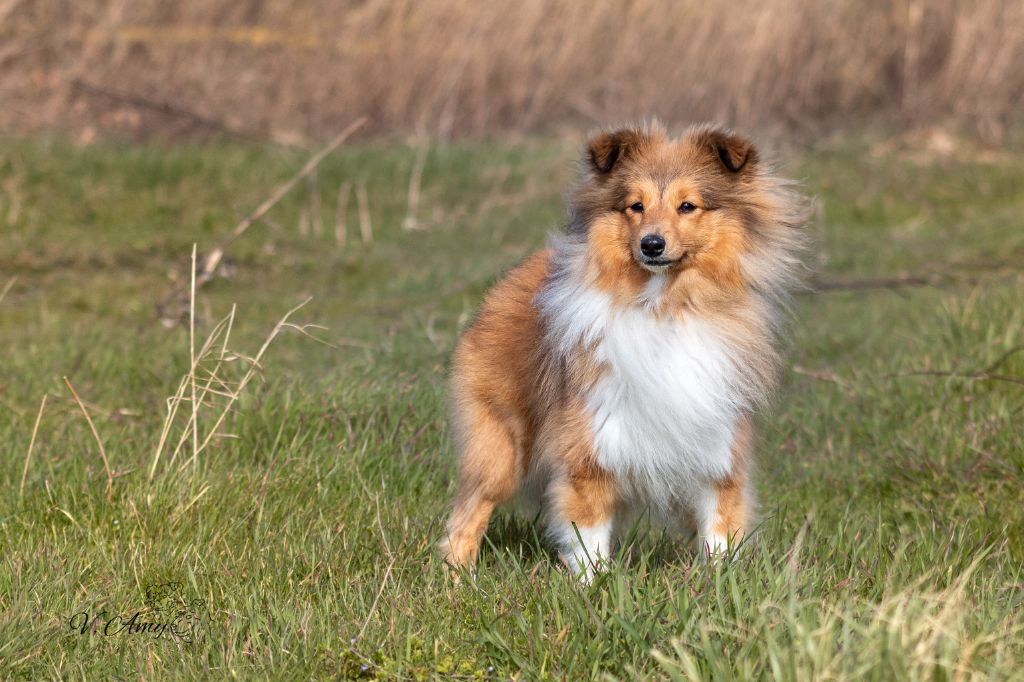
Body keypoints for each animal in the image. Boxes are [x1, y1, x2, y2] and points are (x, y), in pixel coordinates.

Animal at [440, 123, 806, 577]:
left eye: (688, 206)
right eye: (636, 206)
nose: (652, 244)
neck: (663, 308)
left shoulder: (717, 452)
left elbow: (720, 531)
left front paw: (721, 581)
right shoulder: (592, 448)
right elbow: (589, 537)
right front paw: (593, 585)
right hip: (501, 448)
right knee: (468, 514)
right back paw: (459, 578)